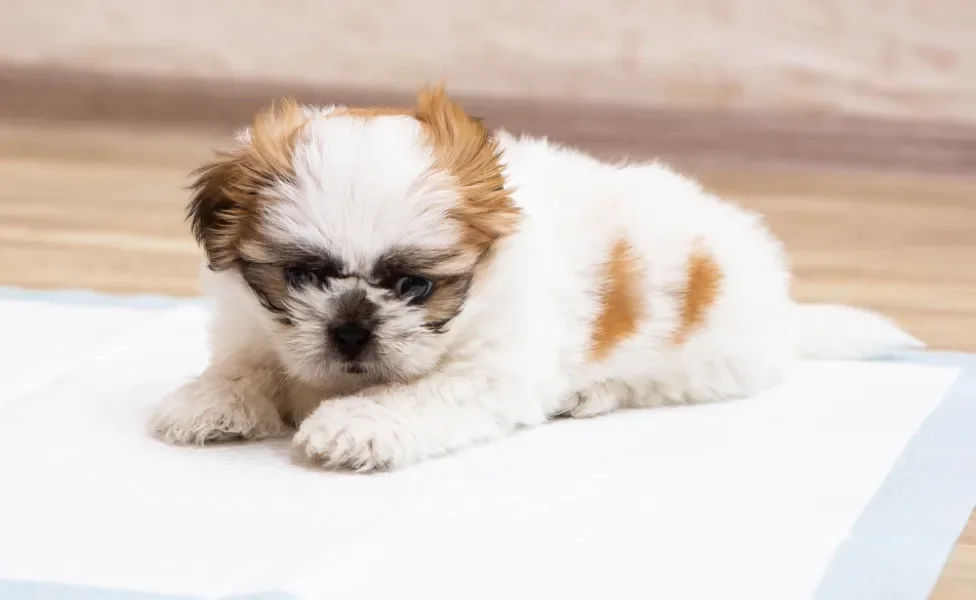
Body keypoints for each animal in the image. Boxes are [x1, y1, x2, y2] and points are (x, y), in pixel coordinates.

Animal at [151, 84, 924, 472]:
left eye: (414, 287)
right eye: (303, 275)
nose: (350, 329)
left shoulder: (492, 368)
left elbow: (419, 394)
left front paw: (356, 426)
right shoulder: (255, 325)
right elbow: (246, 364)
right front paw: (207, 400)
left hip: (701, 361)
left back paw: (587, 394)